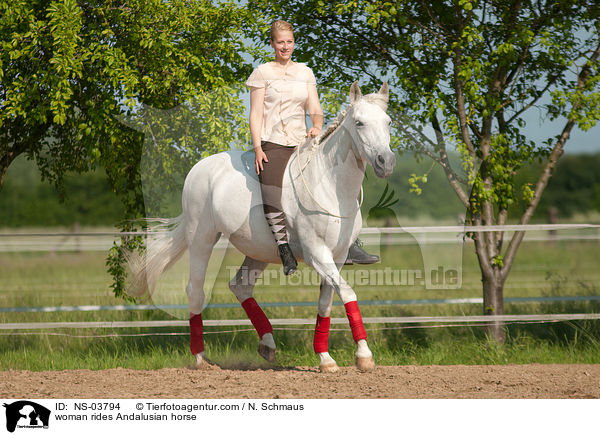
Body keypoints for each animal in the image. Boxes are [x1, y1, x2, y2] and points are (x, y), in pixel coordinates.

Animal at [127, 81, 394, 372]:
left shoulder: (338, 256)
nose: (385, 162)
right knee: (195, 291)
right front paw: (364, 355)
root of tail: (199, 168)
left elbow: (326, 303)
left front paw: (325, 358)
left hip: (259, 251)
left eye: (388, 122)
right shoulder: (317, 254)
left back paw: (267, 344)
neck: (330, 185)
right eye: (359, 123)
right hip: (202, 239)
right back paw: (201, 358)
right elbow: (347, 293)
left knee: (240, 286)